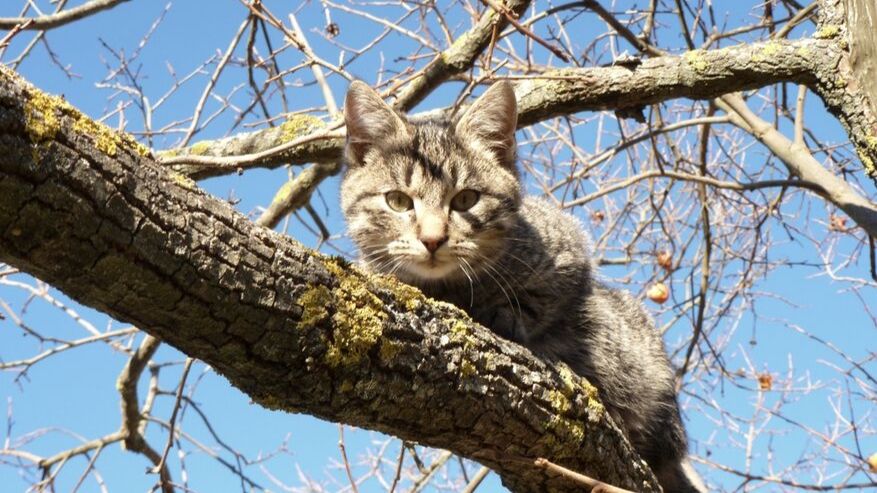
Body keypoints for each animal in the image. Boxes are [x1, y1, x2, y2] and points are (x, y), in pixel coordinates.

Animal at [340, 81, 704, 492]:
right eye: (398, 201)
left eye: (466, 199)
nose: (432, 239)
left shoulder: (570, 251)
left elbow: (541, 299)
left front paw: (503, 314)